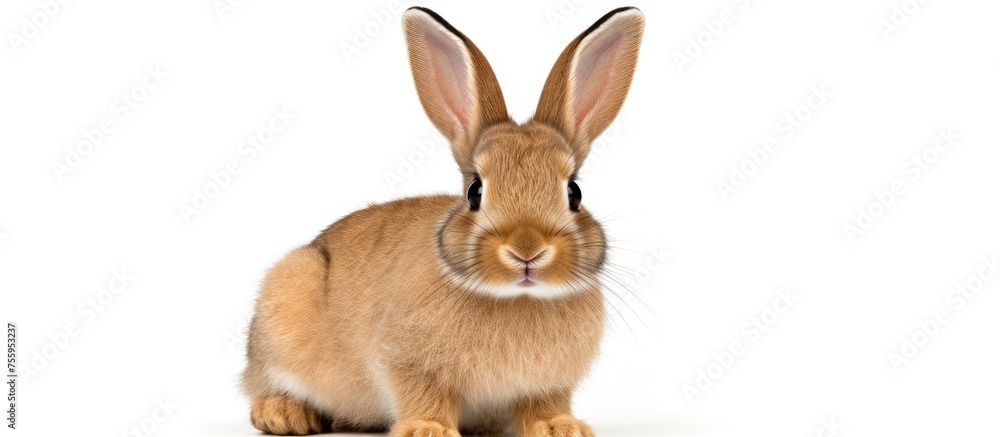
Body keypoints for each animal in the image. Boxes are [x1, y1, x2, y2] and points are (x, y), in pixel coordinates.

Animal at [241, 6, 644, 437]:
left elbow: (542, 403)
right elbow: (425, 396)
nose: (527, 251)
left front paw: (558, 427)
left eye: (574, 193)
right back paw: (284, 413)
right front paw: (427, 429)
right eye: (475, 192)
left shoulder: (545, 385)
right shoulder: (409, 364)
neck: (517, 297)